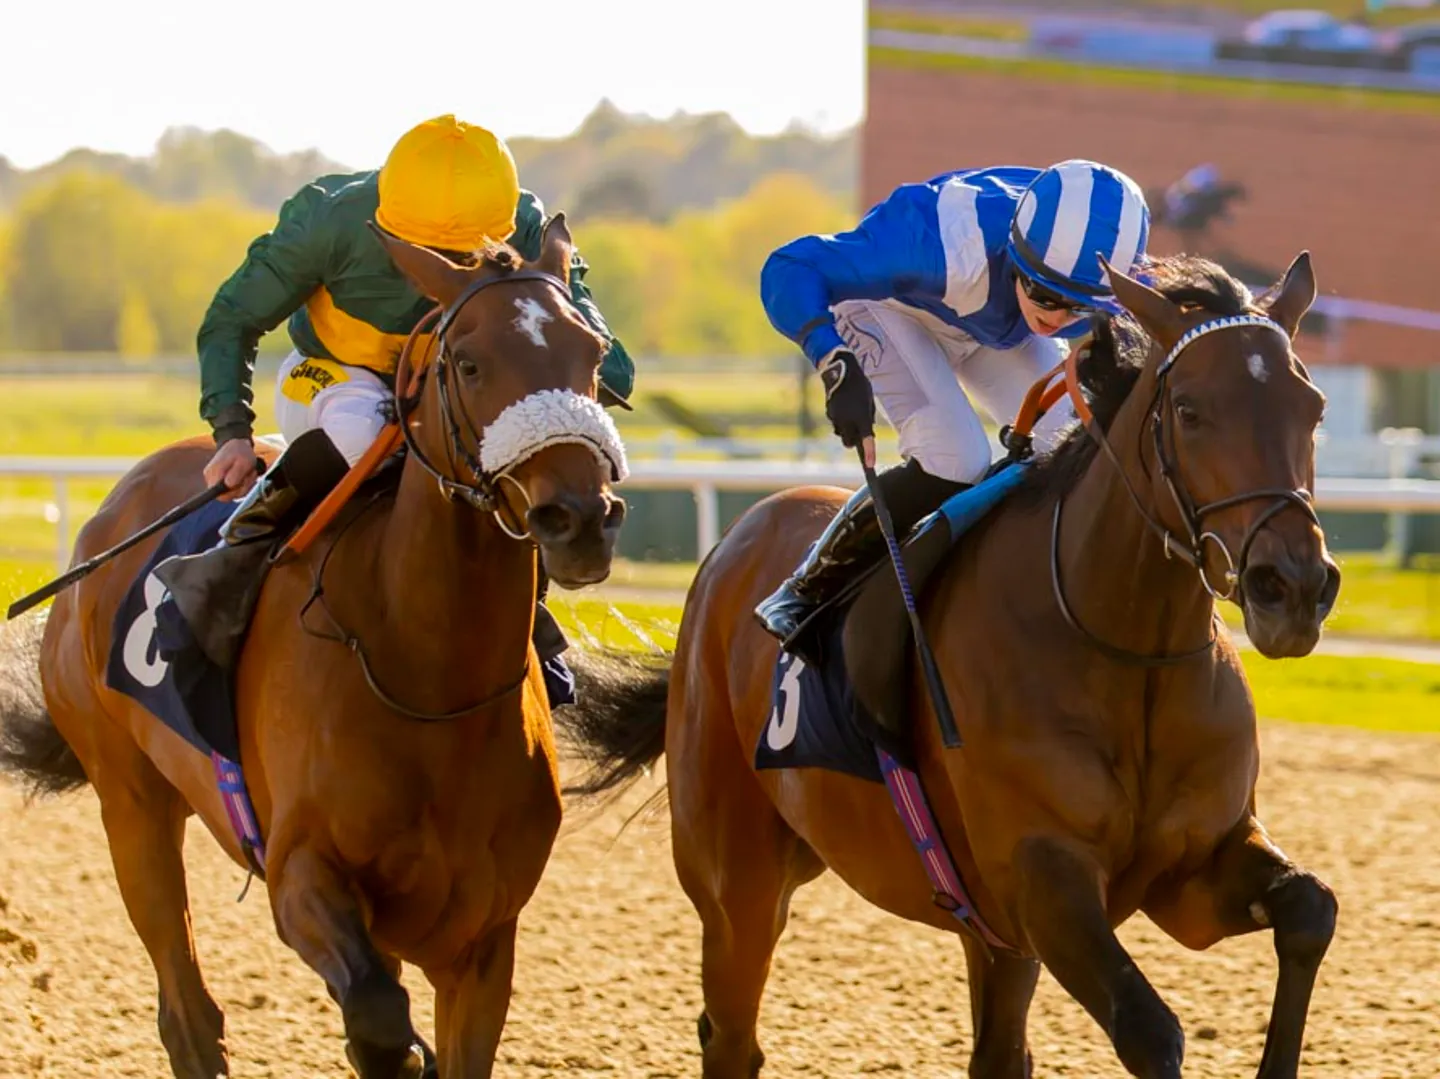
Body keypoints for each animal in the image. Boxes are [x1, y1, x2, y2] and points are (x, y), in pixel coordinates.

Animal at [0, 216, 628, 1080]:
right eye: (469, 362)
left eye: (593, 355)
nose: (580, 518)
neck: (429, 679)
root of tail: (110, 513)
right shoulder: (300, 876)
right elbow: (379, 1022)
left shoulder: (483, 936)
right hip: (130, 800)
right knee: (187, 1012)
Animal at [560, 252, 1341, 1080]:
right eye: (1190, 410)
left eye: (1313, 408)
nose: (1292, 588)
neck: (1130, 653)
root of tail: (736, 540)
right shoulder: (1043, 881)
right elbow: (1150, 1029)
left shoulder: (1188, 872)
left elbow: (1311, 908)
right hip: (736, 879)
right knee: (731, 1034)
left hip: (981, 934)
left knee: (996, 1051)